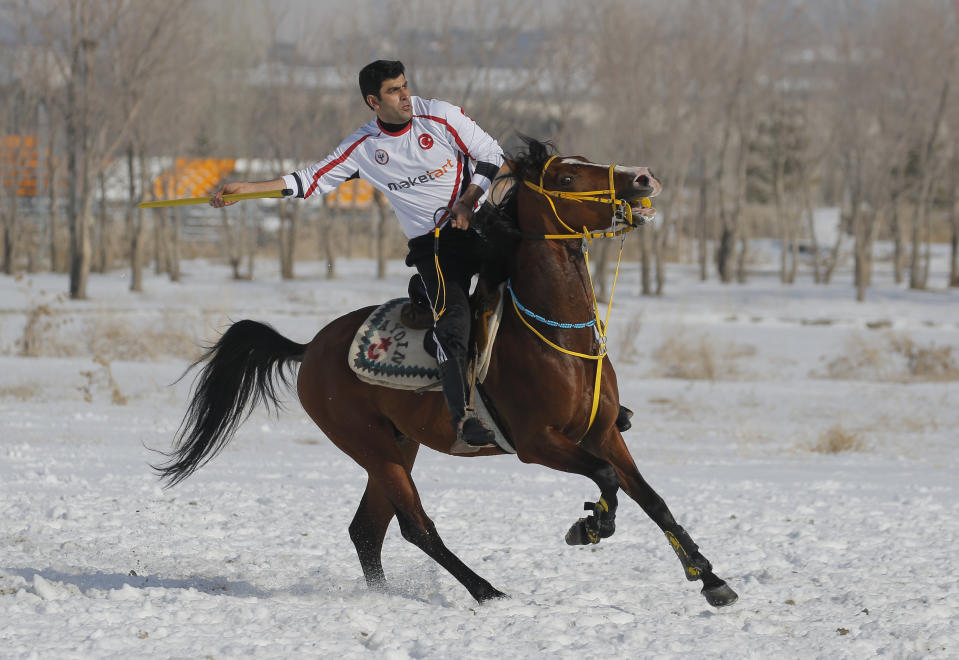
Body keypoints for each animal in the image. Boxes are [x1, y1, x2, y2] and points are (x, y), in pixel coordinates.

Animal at [159, 139, 744, 608]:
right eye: (566, 177)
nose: (643, 177)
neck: (557, 338)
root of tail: (312, 347)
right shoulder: (538, 442)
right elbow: (605, 480)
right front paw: (590, 525)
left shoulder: (601, 432)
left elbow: (650, 497)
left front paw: (709, 577)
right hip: (370, 445)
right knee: (416, 527)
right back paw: (486, 590)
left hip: (399, 445)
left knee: (367, 530)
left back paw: (387, 594)